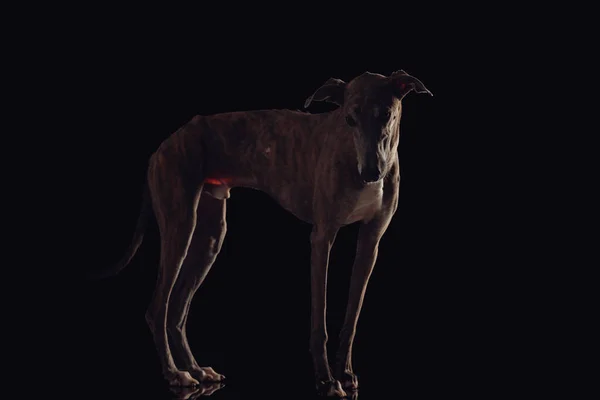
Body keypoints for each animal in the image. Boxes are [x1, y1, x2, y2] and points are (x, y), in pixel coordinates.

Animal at [91, 69, 432, 396]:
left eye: (386, 114)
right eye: (349, 118)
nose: (371, 173)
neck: (351, 152)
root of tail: (162, 148)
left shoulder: (371, 241)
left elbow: (352, 318)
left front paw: (345, 374)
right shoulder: (322, 238)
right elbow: (319, 320)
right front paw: (326, 380)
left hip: (210, 237)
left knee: (176, 310)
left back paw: (197, 370)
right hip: (180, 225)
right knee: (158, 308)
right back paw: (176, 373)